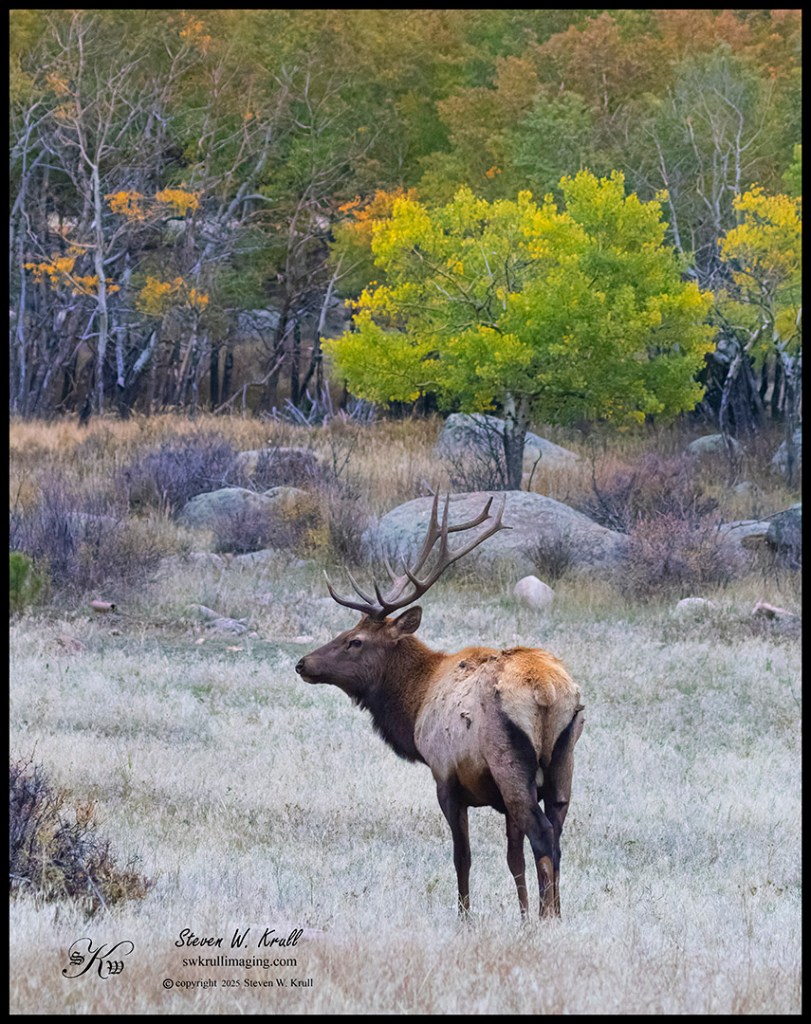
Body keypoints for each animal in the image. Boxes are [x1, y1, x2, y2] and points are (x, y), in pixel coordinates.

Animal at [295, 493, 584, 919]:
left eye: (355, 640)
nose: (303, 664)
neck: (416, 700)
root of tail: (547, 691)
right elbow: (513, 860)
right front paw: (522, 916)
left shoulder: (446, 775)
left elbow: (462, 857)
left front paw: (465, 917)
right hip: (563, 761)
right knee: (557, 835)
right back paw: (557, 915)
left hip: (511, 763)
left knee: (543, 836)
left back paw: (549, 918)